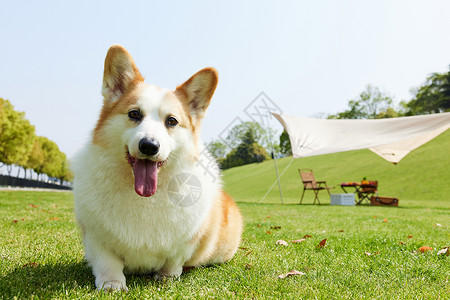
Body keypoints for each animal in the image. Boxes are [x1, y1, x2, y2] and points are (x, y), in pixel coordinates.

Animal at [73, 44, 243, 290]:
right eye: (134, 114)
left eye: (171, 121)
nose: (149, 146)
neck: (145, 197)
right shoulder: (97, 236)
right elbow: (107, 261)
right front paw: (112, 284)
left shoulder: (186, 240)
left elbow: (174, 259)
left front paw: (167, 277)